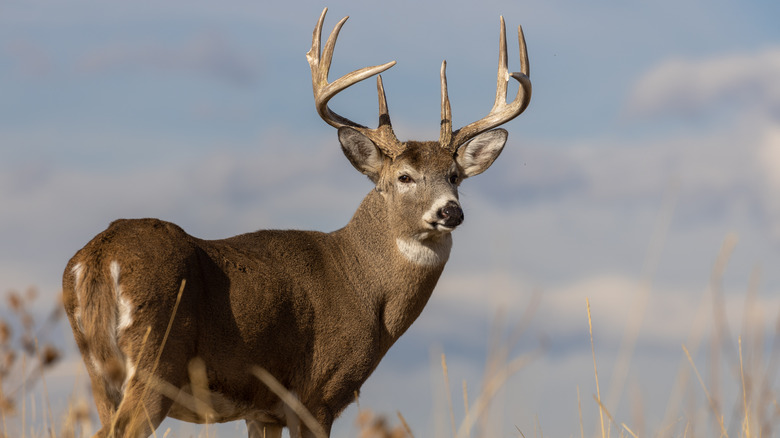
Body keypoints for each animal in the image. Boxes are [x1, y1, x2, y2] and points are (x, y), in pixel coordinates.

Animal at [62, 7, 532, 438]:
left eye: (454, 176)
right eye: (404, 176)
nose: (450, 212)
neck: (363, 284)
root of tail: (98, 257)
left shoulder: (263, 409)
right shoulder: (318, 392)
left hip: (99, 371)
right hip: (155, 359)